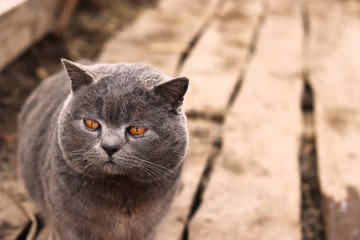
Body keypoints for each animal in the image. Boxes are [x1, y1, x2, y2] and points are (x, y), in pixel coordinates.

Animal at [18, 58, 190, 240]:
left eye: (137, 130)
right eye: (91, 123)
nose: (110, 147)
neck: (119, 192)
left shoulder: (148, 228)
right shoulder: (66, 227)